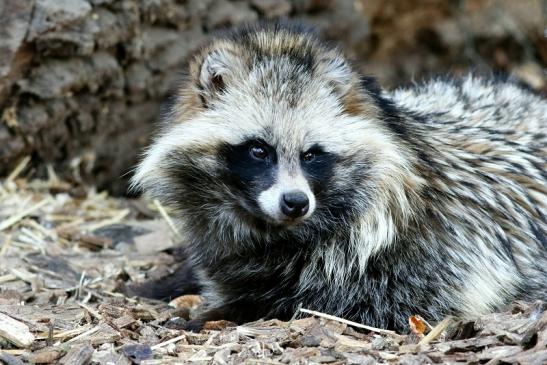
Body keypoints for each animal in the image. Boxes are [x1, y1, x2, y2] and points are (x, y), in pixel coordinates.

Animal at [133, 22, 547, 330]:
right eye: (259, 150)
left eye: (312, 154)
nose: (295, 203)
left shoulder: (424, 264)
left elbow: (349, 307)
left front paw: (225, 311)